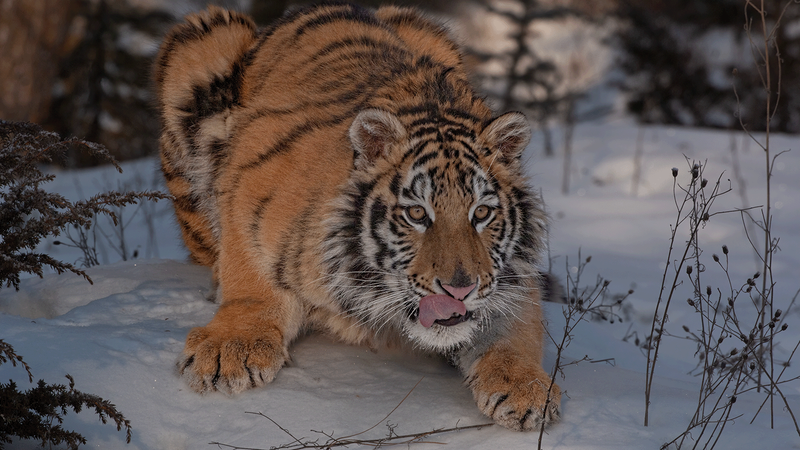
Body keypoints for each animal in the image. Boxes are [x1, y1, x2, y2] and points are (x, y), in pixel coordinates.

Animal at [153, 3, 560, 432]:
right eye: (417, 213)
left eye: (481, 213)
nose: (459, 289)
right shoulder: (247, 185)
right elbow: (249, 279)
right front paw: (228, 351)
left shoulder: (511, 277)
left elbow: (514, 330)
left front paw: (526, 388)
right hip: (204, 45)